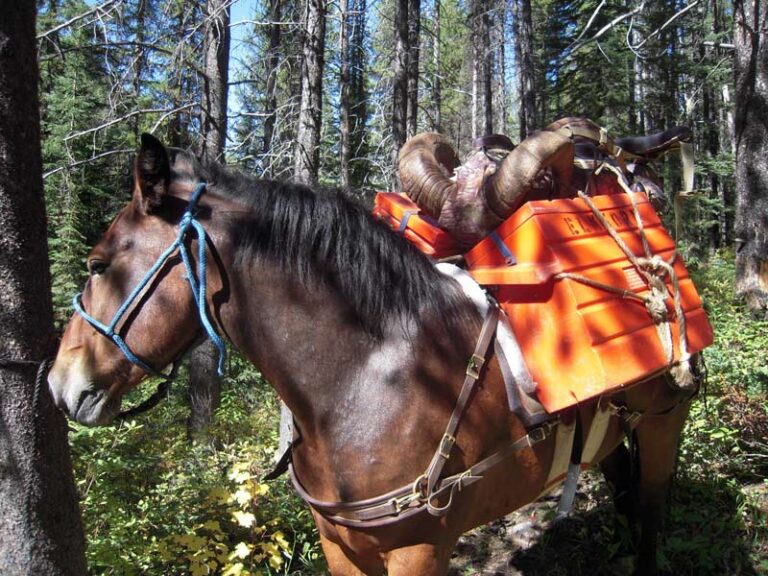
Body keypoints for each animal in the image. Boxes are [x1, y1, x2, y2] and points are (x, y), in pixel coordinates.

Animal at [48, 136, 696, 576]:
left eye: (98, 264)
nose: (58, 384)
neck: (365, 379)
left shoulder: (419, 549)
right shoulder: (338, 544)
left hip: (666, 421)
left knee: (652, 511)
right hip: (615, 428)